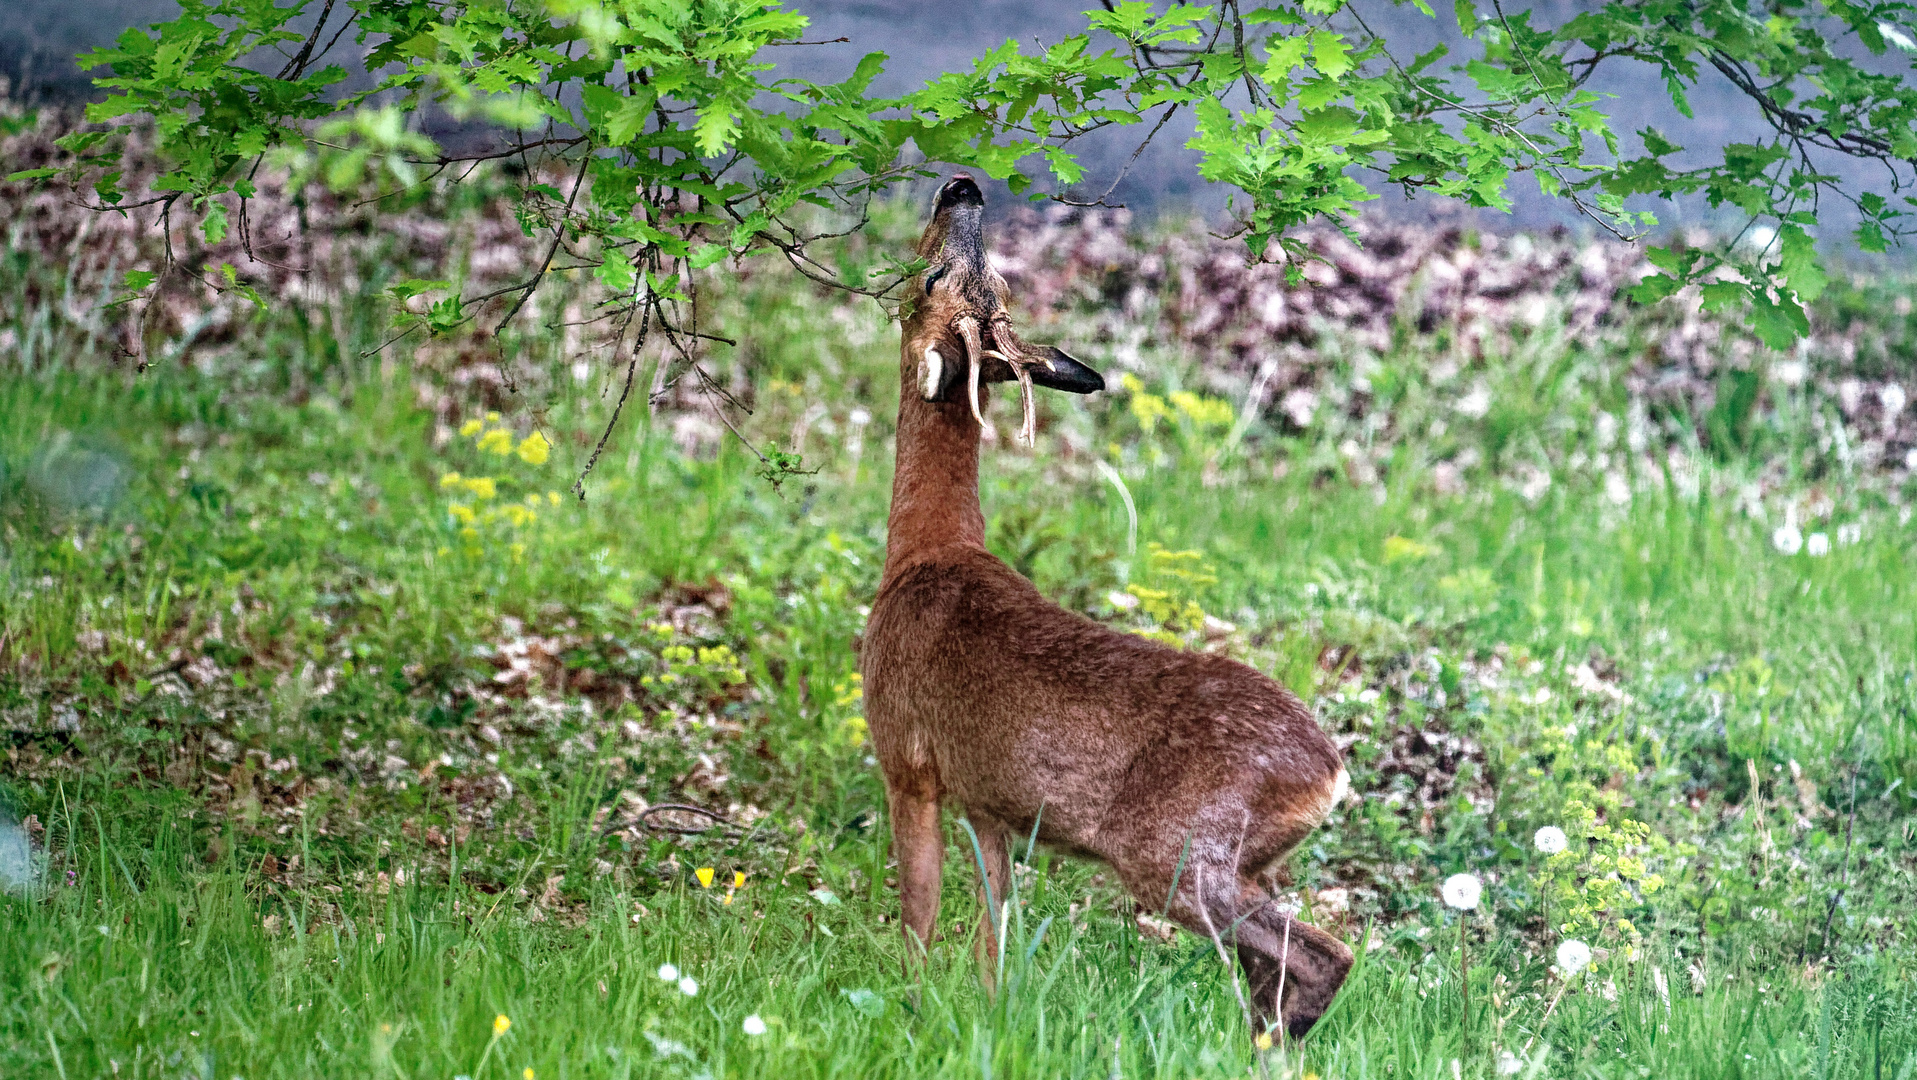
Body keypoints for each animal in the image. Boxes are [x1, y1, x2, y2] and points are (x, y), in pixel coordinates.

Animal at [862, 175, 1357, 1035]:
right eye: (1000, 282)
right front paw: (987, 1017)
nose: (963, 187)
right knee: (1272, 970)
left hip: (1176, 853)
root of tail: (1328, 774)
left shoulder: (906, 755)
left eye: (927, 281)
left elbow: (918, 914)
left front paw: (910, 1008)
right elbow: (996, 929)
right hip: (1243, 861)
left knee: (1322, 955)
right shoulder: (989, 801)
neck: (925, 552)